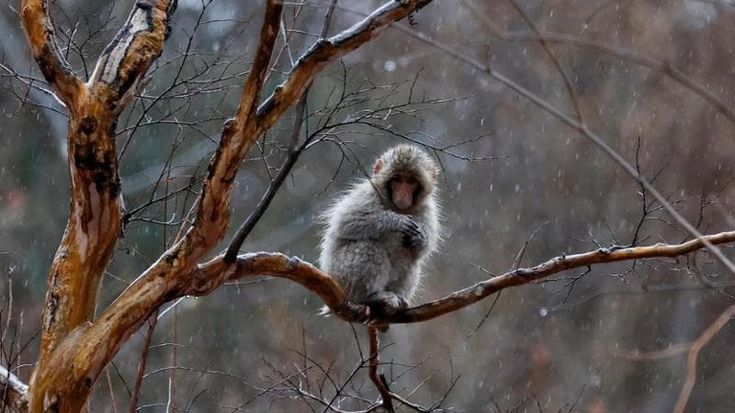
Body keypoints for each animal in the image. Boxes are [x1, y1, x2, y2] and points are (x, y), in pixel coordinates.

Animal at [319, 144, 441, 319]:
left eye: (411, 181)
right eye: (397, 179)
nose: (402, 195)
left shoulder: (428, 209)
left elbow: (423, 249)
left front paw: (420, 238)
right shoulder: (368, 194)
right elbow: (346, 222)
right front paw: (396, 221)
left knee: (412, 261)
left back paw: (397, 297)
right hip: (341, 276)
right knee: (369, 247)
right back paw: (372, 296)